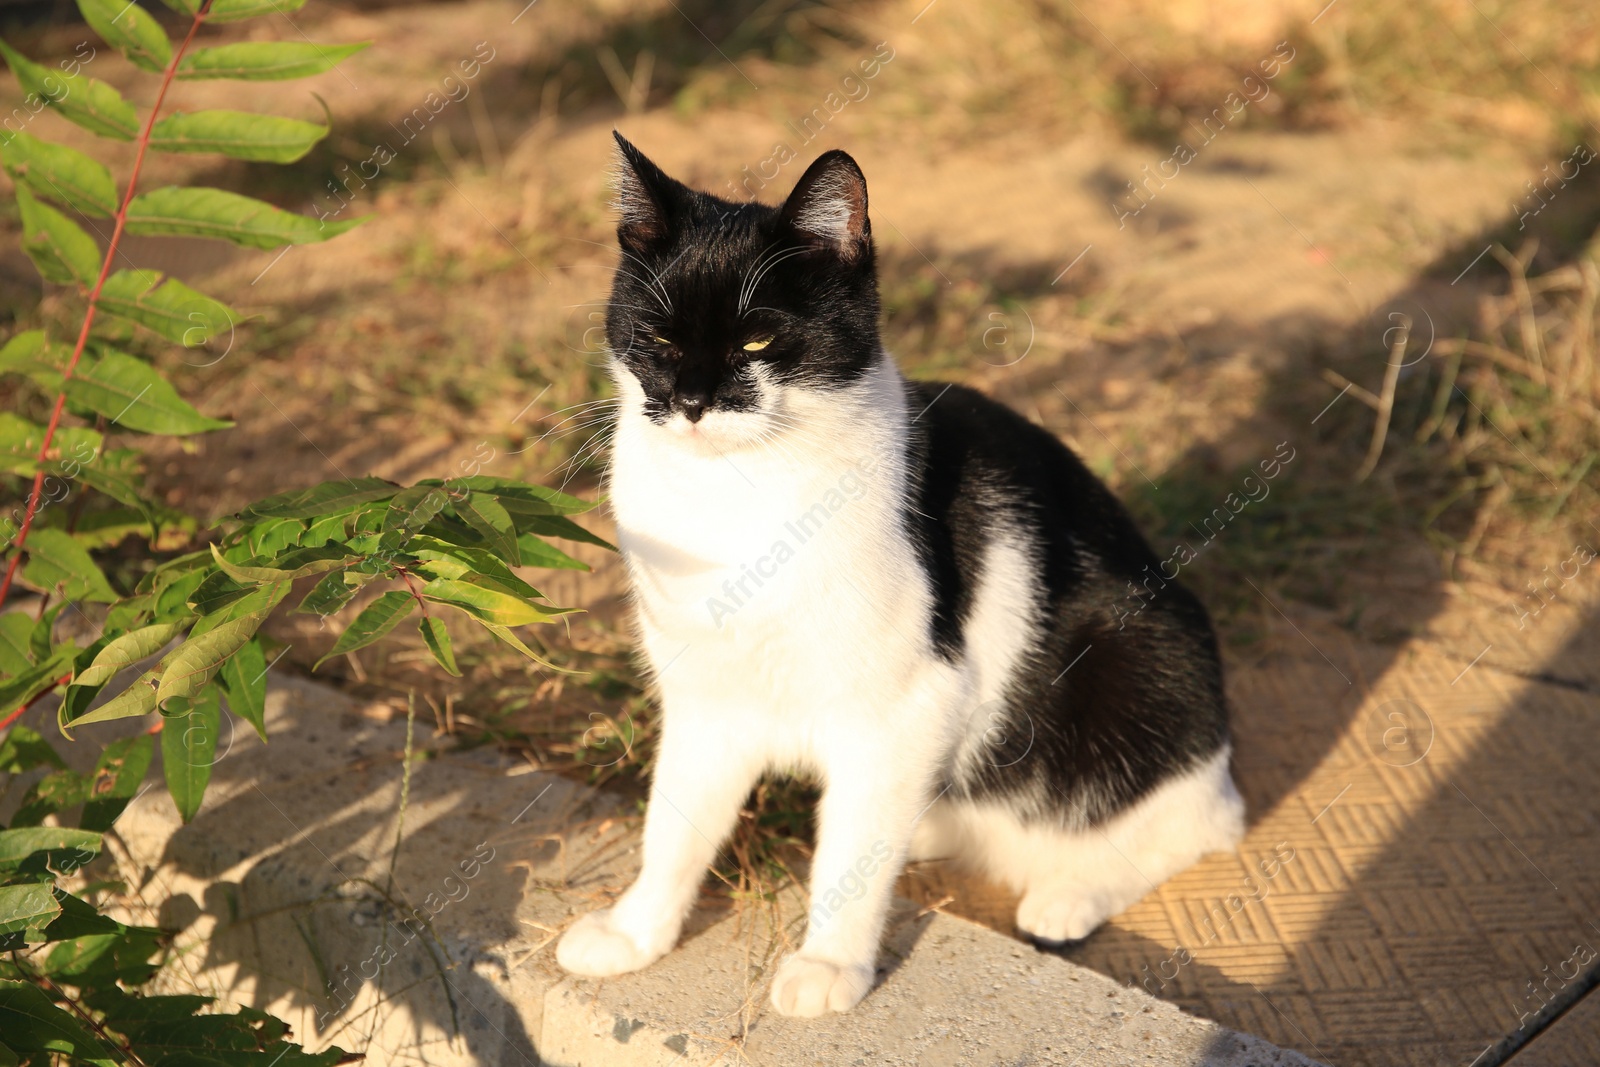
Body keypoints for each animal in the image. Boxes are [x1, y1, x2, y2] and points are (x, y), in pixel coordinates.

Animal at [556, 133, 1241, 1017]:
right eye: (658, 339)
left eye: (756, 343)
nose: (693, 401)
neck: (734, 498)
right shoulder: (708, 702)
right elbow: (673, 823)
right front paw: (636, 931)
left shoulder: (906, 702)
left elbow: (847, 861)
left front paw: (829, 964)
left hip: (1141, 648)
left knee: (1201, 817)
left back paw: (1069, 893)